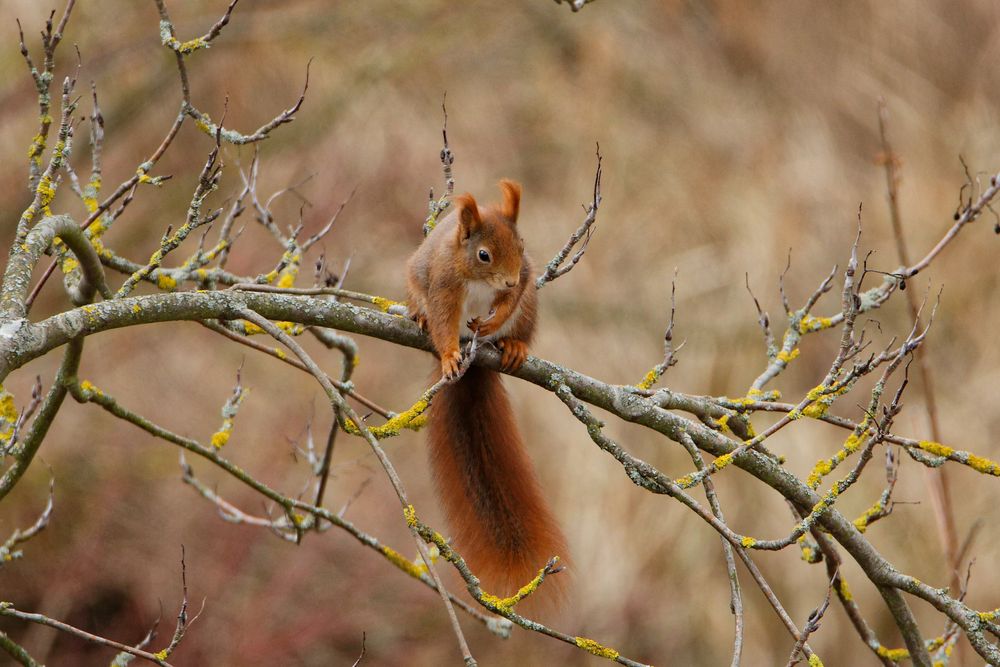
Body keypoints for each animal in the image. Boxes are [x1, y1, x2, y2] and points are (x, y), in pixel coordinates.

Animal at [402, 180, 568, 604]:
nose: (509, 279)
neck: (479, 282)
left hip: (530, 309)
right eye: (483, 255)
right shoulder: (444, 285)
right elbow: (444, 320)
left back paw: (512, 345)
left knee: (519, 322)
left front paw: (496, 318)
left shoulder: (522, 284)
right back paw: (421, 318)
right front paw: (447, 355)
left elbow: (508, 302)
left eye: (522, 245)